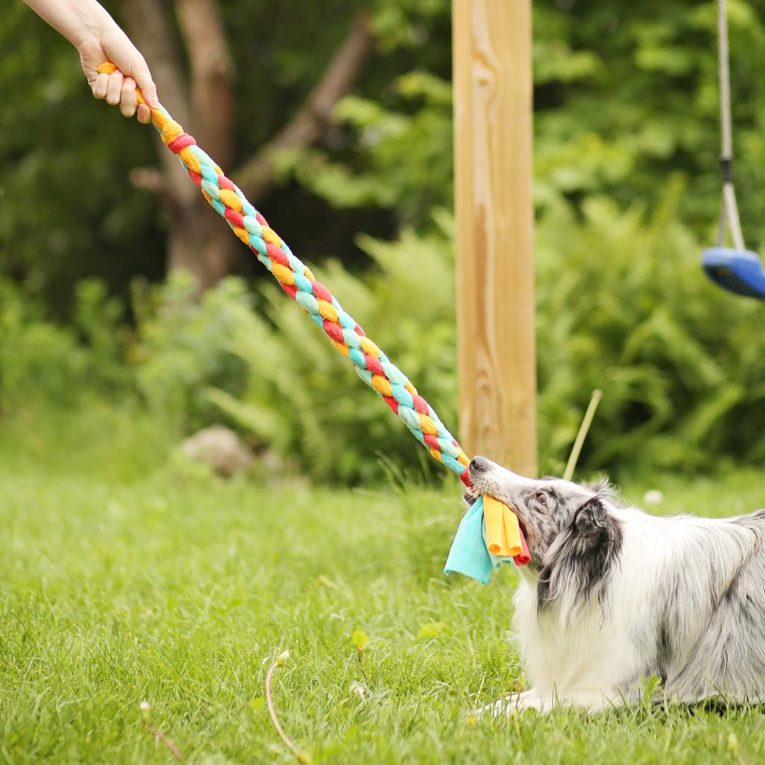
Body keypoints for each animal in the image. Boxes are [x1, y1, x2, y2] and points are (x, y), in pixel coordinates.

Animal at [466, 456, 764, 712]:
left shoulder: (618, 689)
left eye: (541, 497)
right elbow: (510, 700)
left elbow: (531, 706)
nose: (477, 462)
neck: (597, 578)